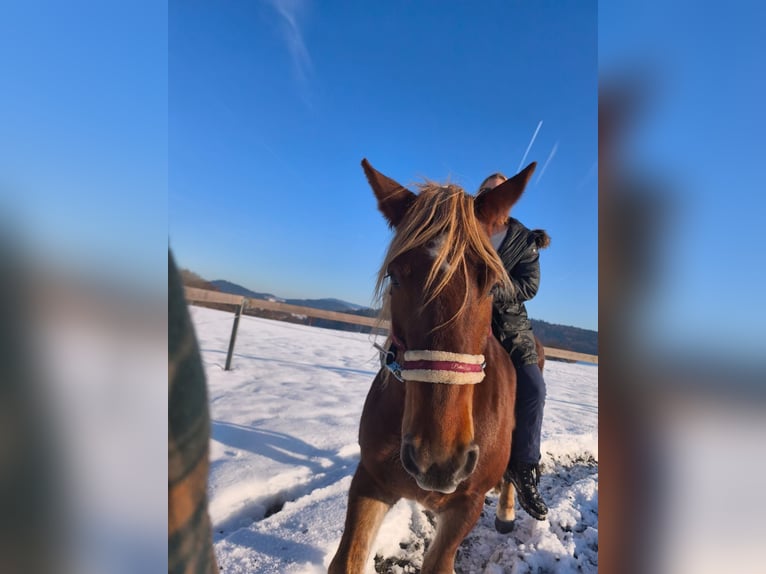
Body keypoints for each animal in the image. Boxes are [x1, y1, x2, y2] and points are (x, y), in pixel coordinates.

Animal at [329, 159, 537, 573]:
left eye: (493, 285)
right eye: (394, 276)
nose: (437, 460)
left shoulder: (466, 506)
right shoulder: (369, 482)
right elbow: (345, 562)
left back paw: (508, 512)